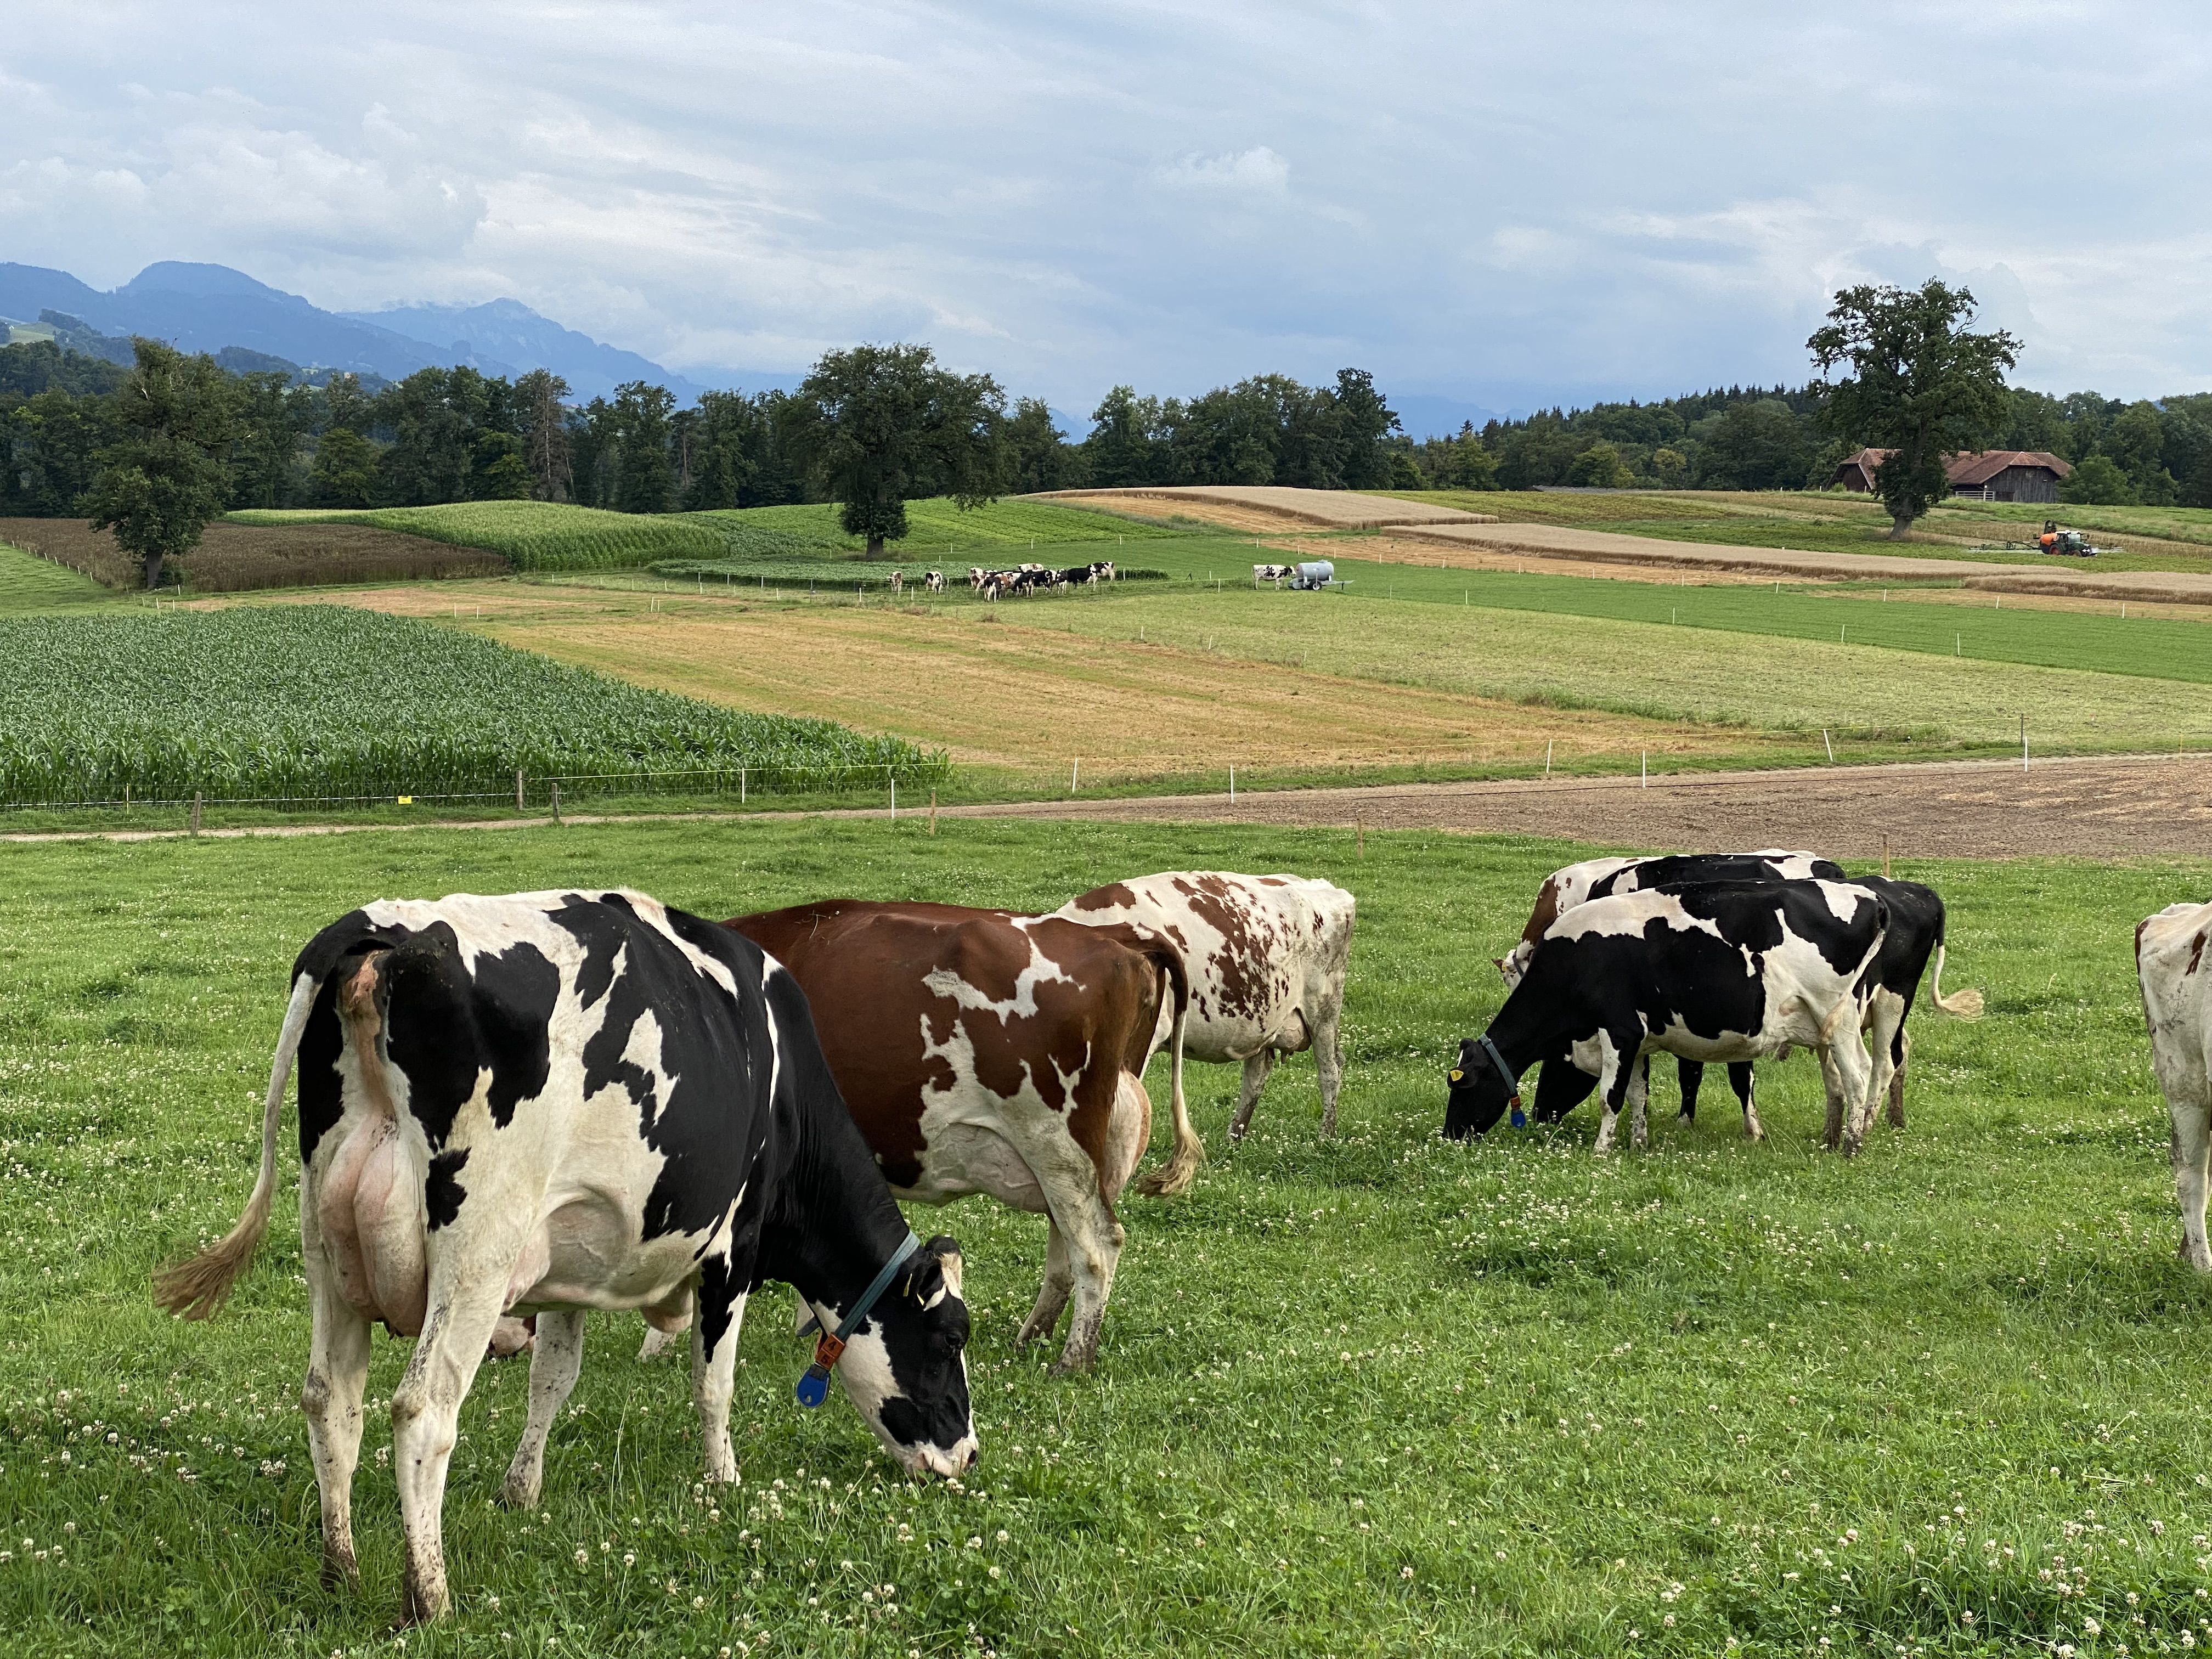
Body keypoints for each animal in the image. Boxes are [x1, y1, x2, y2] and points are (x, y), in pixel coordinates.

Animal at [152, 890, 975, 1622]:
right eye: (949, 1339)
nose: (966, 1456)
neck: (787, 1096)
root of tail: (381, 932)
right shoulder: (732, 1253)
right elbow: (714, 1386)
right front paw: (725, 1483)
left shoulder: (571, 1260)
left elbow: (552, 1381)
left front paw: (521, 1491)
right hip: (477, 1250)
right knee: (422, 1410)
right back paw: (429, 1598)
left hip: (328, 1242)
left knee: (331, 1401)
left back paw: (341, 1573)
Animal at [726, 901, 1195, 1373]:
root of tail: (1117, 937)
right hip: (1075, 1160)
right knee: (1065, 1250)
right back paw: (1032, 1339)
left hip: (1057, 1144)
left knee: (1097, 1247)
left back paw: (1072, 1360)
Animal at [1054, 872, 1356, 1139]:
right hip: (1265, 1016)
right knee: (1256, 1076)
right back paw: (1233, 1139)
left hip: (1324, 1010)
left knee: (1330, 1070)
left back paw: (1326, 1136)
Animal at [1447, 879, 1894, 1156]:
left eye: (1463, 1085)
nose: (1450, 1134)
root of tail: (1867, 896)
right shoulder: (1638, 1041)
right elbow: (1636, 1096)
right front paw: (1637, 1145)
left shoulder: (1620, 1031)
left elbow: (1610, 1098)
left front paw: (1600, 1151)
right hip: (1826, 1025)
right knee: (1845, 1078)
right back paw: (1835, 1139)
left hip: (1838, 1017)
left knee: (1859, 1074)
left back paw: (1852, 1145)